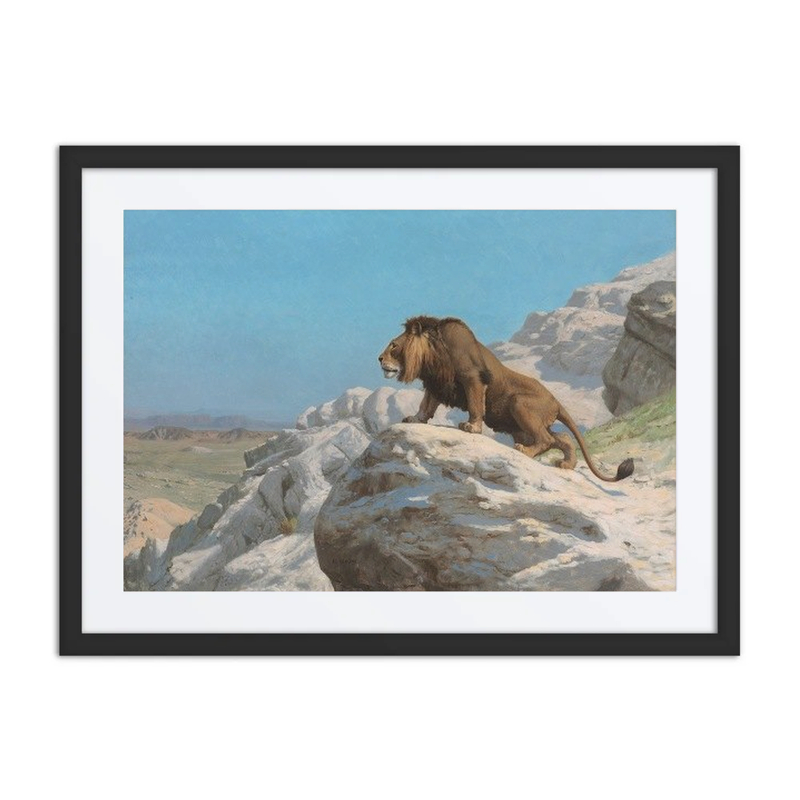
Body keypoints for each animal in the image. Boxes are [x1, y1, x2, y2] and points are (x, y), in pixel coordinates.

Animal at [378, 315, 633, 482]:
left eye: (393, 345)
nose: (379, 359)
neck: (432, 355)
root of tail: (556, 401)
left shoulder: (472, 378)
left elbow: (475, 404)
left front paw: (471, 427)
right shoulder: (436, 383)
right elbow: (426, 405)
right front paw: (414, 419)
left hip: (519, 403)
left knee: (546, 439)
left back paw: (525, 452)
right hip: (524, 425)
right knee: (562, 438)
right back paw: (566, 464)